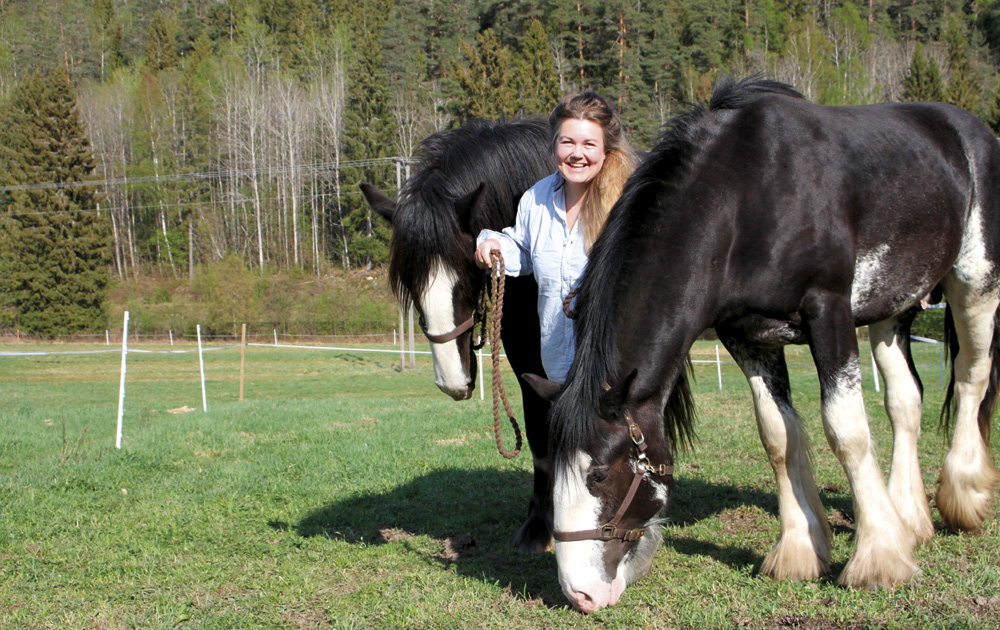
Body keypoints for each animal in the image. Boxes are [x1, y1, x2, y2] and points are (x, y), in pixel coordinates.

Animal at [362, 118, 564, 552]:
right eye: (409, 284)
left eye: (468, 275)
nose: (452, 384)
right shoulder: (524, 350)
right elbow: (539, 427)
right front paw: (539, 522)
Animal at [540, 76, 1000, 616]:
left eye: (598, 474)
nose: (580, 593)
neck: (745, 198)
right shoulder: (748, 337)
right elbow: (778, 436)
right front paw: (801, 550)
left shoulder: (829, 311)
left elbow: (846, 429)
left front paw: (879, 558)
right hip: (892, 308)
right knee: (906, 400)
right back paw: (909, 517)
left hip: (974, 284)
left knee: (971, 378)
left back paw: (964, 496)